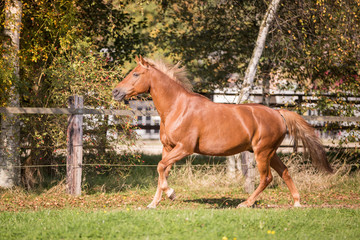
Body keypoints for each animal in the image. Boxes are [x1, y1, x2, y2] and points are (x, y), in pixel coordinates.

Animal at [113, 55, 332, 208]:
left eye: (135, 74)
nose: (116, 92)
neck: (177, 107)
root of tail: (278, 113)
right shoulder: (168, 148)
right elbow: (162, 171)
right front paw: (153, 203)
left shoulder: (184, 148)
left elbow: (160, 167)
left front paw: (171, 194)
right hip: (270, 152)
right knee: (284, 172)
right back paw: (296, 202)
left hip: (263, 152)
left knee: (267, 178)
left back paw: (245, 203)